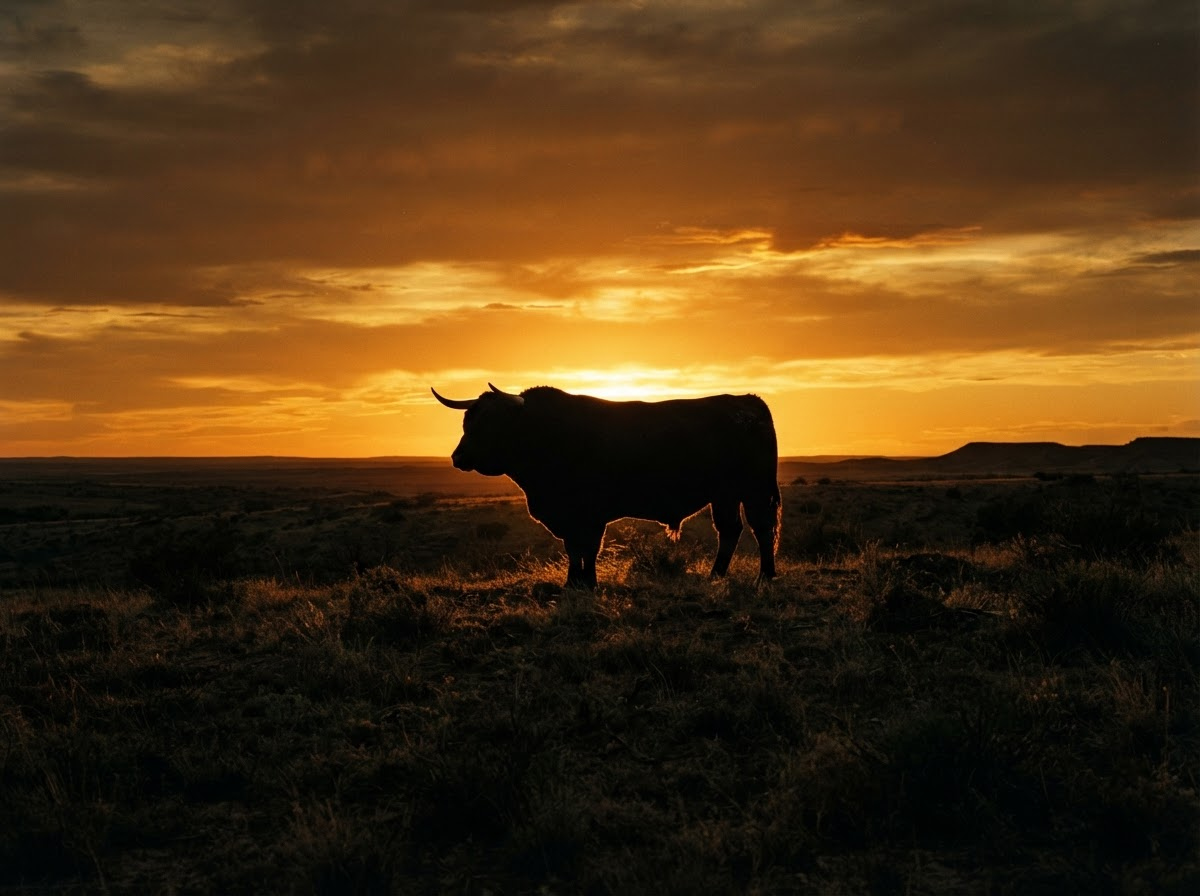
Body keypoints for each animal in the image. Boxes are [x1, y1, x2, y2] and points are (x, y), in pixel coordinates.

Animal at [432, 383, 781, 589]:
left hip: (755, 490)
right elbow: (573, 549)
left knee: (762, 529)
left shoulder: (590, 512)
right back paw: (715, 575)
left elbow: (588, 547)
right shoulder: (569, 515)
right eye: (467, 421)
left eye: (492, 422)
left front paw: (588, 583)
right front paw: (573, 583)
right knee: (730, 530)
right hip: (725, 495)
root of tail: (749, 402)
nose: (458, 457)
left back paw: (765, 576)